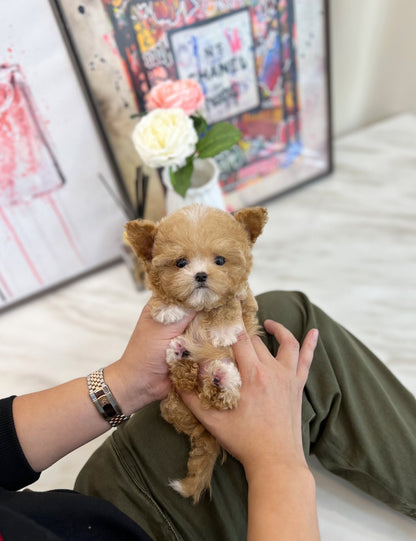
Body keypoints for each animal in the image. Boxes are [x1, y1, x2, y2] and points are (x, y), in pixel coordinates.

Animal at [124, 202, 266, 502]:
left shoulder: (244, 299)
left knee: (219, 397)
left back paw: (220, 379)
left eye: (220, 261)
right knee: (185, 380)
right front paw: (168, 308)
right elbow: (164, 296)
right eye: (180, 263)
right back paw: (183, 356)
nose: (200, 275)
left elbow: (229, 305)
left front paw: (224, 328)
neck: (200, 307)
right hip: (175, 400)